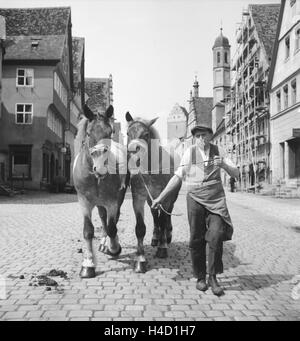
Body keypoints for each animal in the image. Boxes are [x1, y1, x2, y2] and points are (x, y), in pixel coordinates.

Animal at [74, 105, 129, 278]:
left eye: (110, 132)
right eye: (89, 133)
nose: (100, 167)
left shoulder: (112, 201)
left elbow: (112, 228)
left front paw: (114, 248)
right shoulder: (84, 202)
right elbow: (88, 231)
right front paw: (88, 265)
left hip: (118, 198)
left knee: (112, 221)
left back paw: (108, 244)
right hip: (99, 203)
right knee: (103, 217)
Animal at [125, 111, 182, 270]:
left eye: (145, 134)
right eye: (128, 133)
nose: (133, 159)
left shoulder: (165, 198)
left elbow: (163, 220)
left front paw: (162, 249)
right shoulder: (139, 198)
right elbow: (140, 227)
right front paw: (140, 259)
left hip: (171, 197)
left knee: (166, 216)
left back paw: (167, 236)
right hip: (151, 199)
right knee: (154, 214)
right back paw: (156, 237)